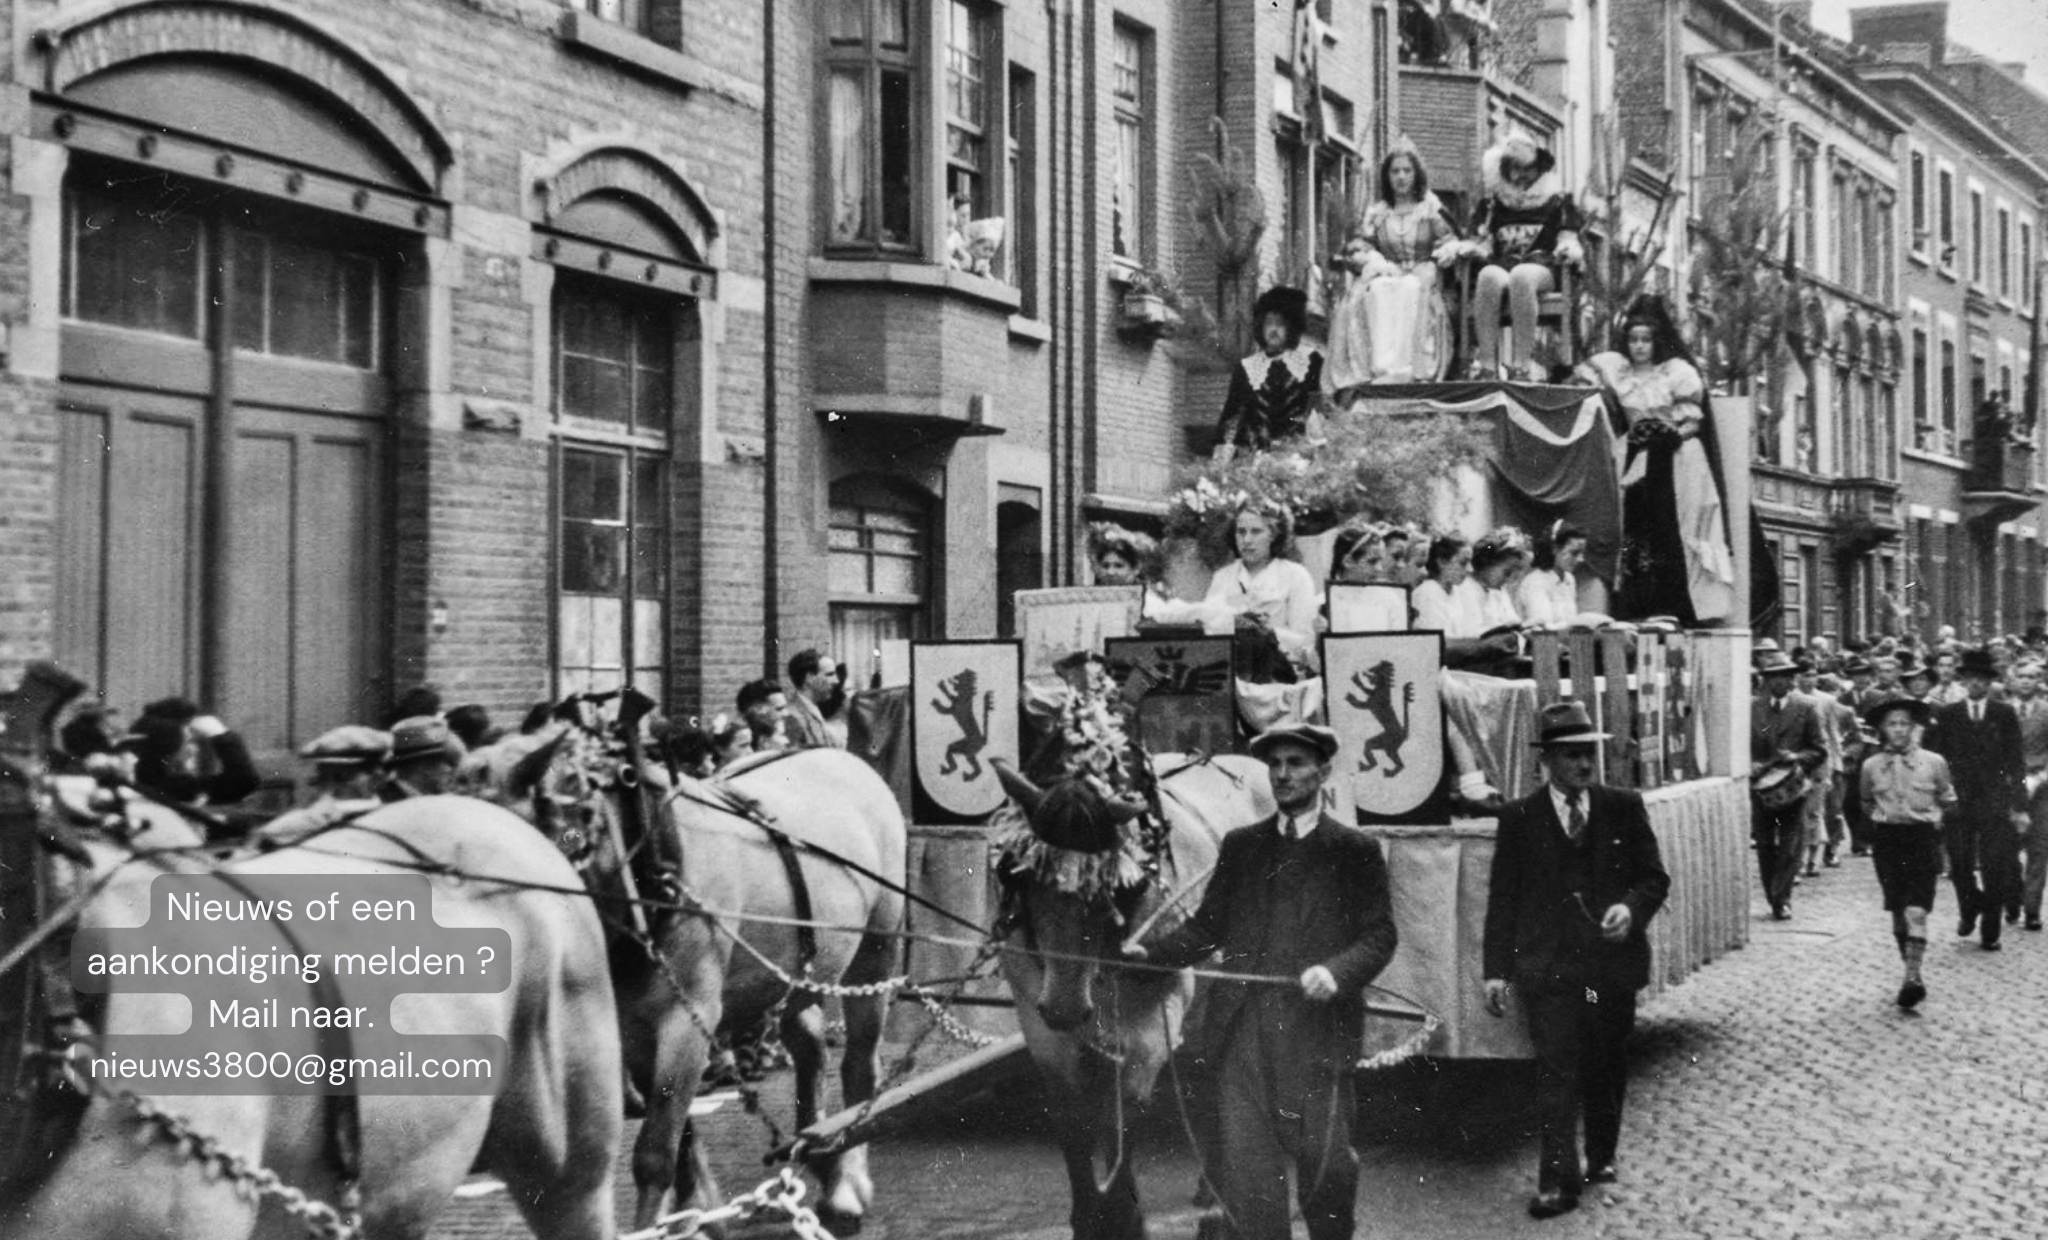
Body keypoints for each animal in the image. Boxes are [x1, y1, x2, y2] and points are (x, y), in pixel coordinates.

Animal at [509, 729, 905, 1229]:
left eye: (581, 818)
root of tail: (842, 757)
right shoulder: (633, 1027)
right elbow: (677, 1135)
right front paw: (696, 1211)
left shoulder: (688, 1018)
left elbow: (655, 1152)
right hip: (794, 979)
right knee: (811, 1049)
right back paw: (818, 1150)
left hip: (876, 954)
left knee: (860, 1065)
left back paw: (846, 1185)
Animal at [991, 750, 1261, 1237]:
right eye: (1028, 878)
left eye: (1105, 888)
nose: (1064, 1007)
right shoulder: (1042, 1027)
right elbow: (1074, 1121)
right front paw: (1089, 1215)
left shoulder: (1151, 1025)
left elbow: (1125, 1115)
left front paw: (1123, 1215)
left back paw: (1216, 1191)